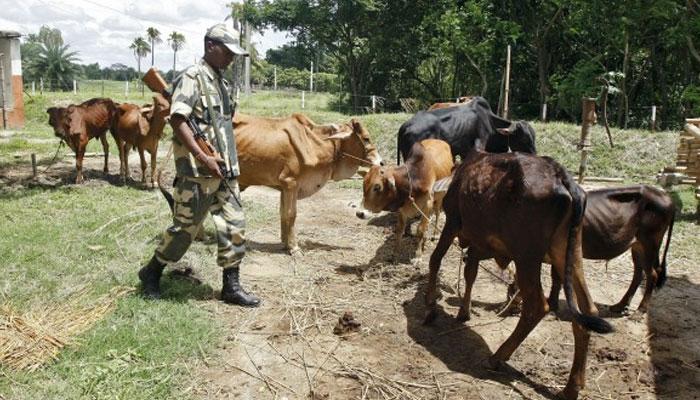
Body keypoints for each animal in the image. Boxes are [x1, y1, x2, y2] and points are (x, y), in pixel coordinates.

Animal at [235, 112, 382, 253]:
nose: (381, 162)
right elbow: (291, 214)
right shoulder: (291, 183)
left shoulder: (284, 187)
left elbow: (283, 213)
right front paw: (294, 247)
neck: (314, 143)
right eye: (366, 138)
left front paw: (285, 243)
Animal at [394, 96, 536, 163]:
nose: (534, 155)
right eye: (524, 139)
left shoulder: (463, 151)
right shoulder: (480, 143)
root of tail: (404, 125)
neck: (490, 121)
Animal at [422, 151, 612, 400]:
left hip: (526, 256)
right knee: (586, 311)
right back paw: (572, 387)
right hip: (569, 252)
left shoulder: (453, 221)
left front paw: (430, 308)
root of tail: (560, 175)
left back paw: (497, 357)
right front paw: (464, 312)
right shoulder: (477, 242)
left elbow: (435, 259)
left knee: (537, 306)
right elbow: (470, 272)